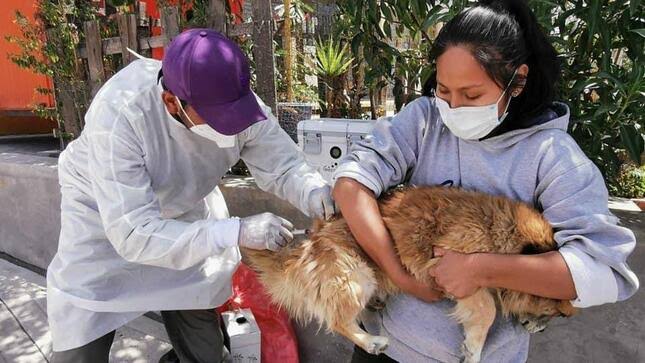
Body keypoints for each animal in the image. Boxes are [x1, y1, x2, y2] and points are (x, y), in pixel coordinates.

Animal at [240, 188, 572, 363]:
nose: (543, 330)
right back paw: (371, 341)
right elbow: (487, 311)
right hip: (356, 275)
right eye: (554, 309)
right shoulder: (460, 273)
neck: (501, 233)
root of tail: (308, 246)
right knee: (338, 321)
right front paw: (474, 350)